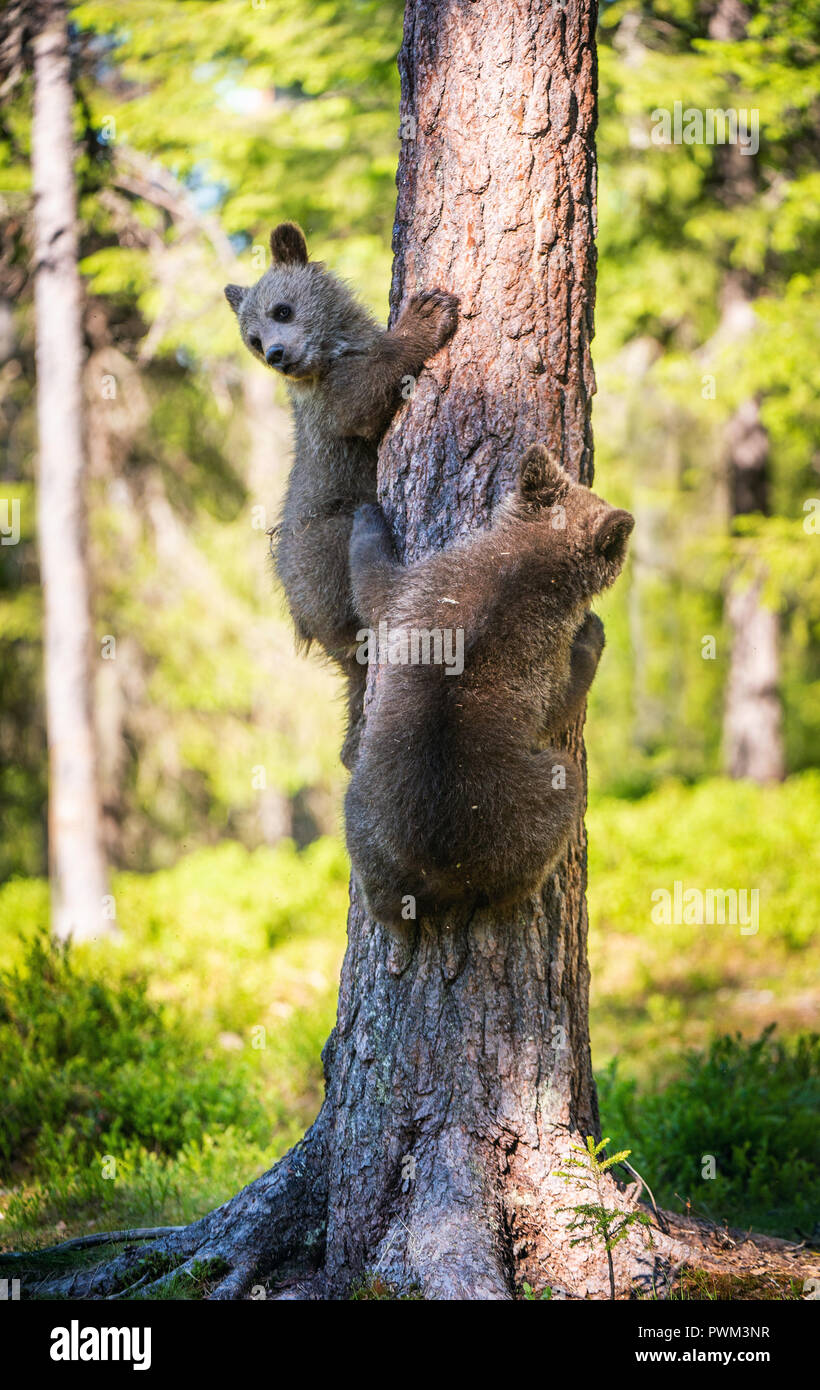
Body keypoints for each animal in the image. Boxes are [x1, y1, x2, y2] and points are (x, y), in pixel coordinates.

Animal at [224, 222, 459, 767]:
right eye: (252, 339)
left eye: (281, 310)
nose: (277, 355)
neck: (335, 351)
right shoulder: (333, 412)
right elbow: (364, 399)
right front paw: (427, 314)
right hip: (317, 546)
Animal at [343, 444, 634, 932]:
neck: (529, 557)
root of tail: (442, 869)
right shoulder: (533, 642)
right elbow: (560, 699)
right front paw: (593, 632)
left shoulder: (424, 591)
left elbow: (376, 587)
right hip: (530, 802)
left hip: (366, 812)